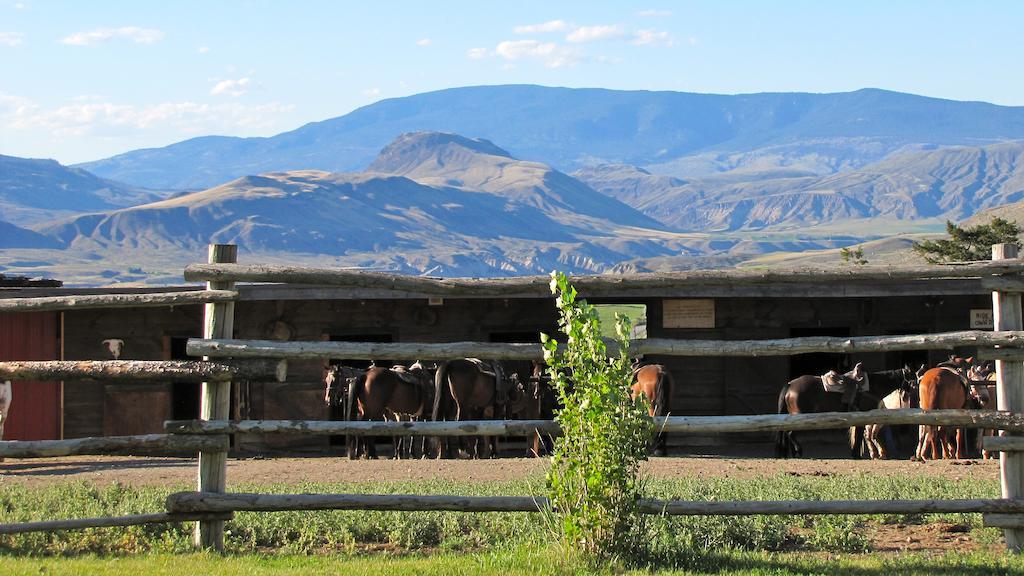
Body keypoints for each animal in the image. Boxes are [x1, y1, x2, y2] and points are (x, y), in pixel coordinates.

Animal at [774, 362, 921, 457]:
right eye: (913, 378)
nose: (917, 394)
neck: (872, 386)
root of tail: (790, 385)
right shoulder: (862, 415)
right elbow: (860, 434)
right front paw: (857, 455)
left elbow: (859, 434)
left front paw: (856, 453)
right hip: (799, 415)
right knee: (790, 433)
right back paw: (798, 451)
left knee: (787, 433)